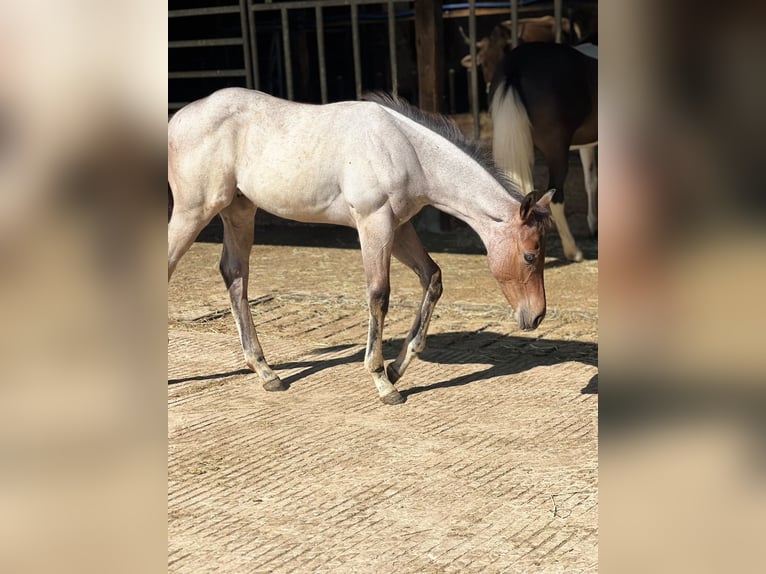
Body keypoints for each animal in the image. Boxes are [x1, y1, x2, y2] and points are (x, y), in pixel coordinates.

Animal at [168, 88, 553, 405]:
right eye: (530, 254)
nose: (536, 316)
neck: (406, 151)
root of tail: (179, 118)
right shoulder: (374, 223)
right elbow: (378, 295)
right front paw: (383, 382)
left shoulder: (399, 228)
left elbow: (432, 278)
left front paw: (397, 369)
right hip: (194, 211)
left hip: (238, 212)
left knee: (235, 275)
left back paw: (266, 372)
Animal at [462, 25, 598, 262]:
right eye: (482, 62)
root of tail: (515, 67)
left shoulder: (587, 144)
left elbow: (591, 181)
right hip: (556, 150)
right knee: (556, 197)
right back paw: (573, 251)